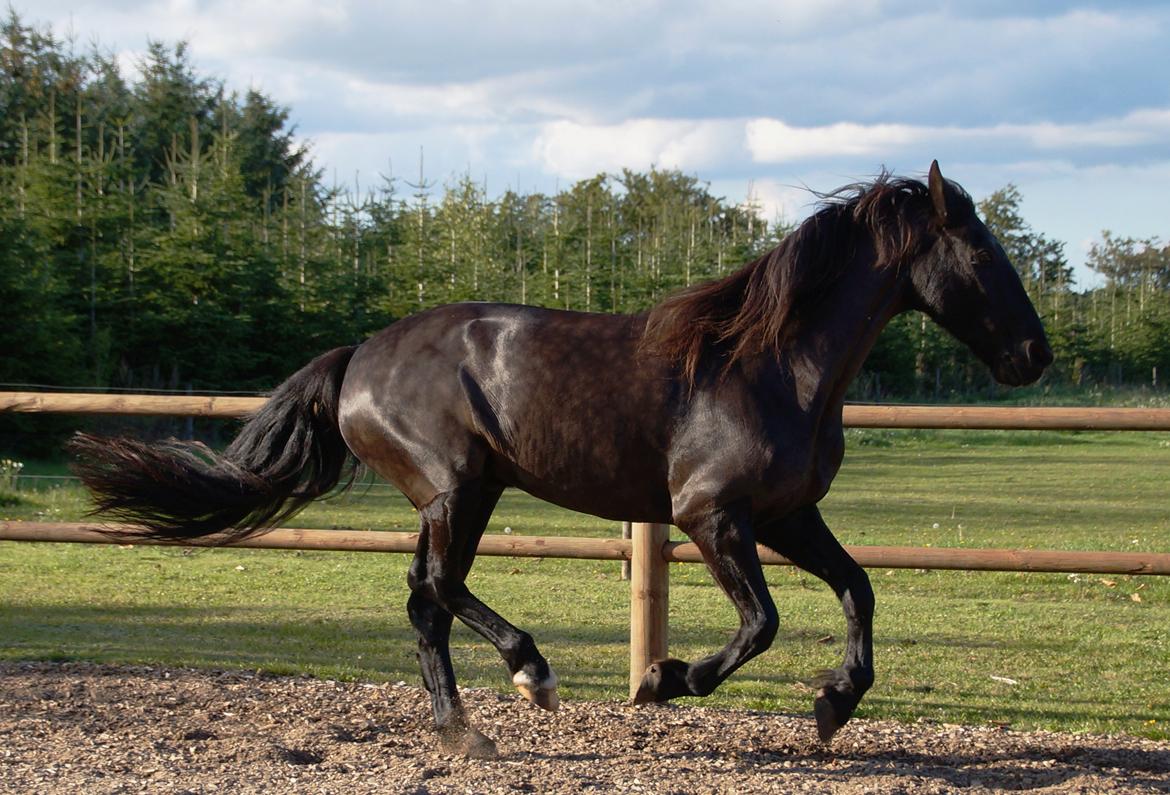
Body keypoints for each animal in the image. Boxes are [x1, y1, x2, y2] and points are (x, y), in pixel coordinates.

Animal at [68, 161, 1053, 758]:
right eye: (979, 249)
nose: (1033, 356)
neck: (773, 364)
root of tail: (358, 355)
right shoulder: (711, 515)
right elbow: (761, 623)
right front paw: (663, 681)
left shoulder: (786, 514)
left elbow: (859, 588)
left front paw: (833, 703)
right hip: (457, 490)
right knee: (439, 590)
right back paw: (530, 676)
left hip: (462, 497)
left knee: (425, 603)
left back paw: (462, 730)